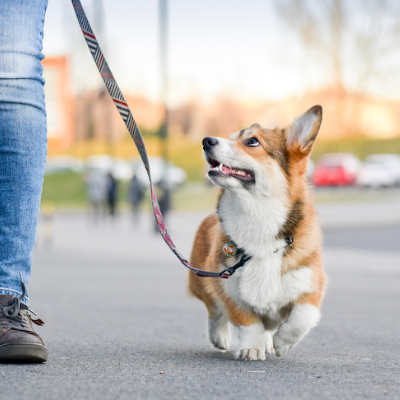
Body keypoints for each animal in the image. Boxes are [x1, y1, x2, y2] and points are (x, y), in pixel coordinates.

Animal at [189, 105, 326, 360]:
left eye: (252, 141)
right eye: (231, 137)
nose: (206, 140)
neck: (258, 217)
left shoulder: (312, 285)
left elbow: (302, 317)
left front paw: (282, 342)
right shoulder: (228, 287)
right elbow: (247, 321)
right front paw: (251, 347)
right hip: (200, 279)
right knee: (214, 311)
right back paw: (220, 336)